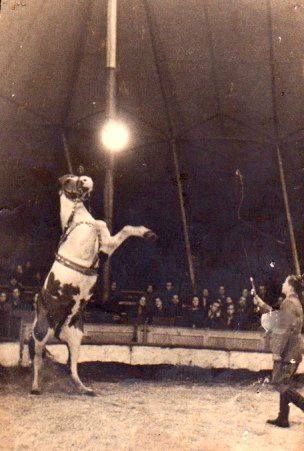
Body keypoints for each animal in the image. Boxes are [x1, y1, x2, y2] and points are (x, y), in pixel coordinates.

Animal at [29, 174, 156, 396]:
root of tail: (58, 329)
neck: (78, 221)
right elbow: (100, 223)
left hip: (75, 337)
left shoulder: (107, 248)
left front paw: (147, 233)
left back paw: (85, 389)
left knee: (72, 368)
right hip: (41, 332)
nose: (86, 180)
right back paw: (36, 387)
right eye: (69, 181)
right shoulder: (99, 243)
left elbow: (123, 229)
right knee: (38, 359)